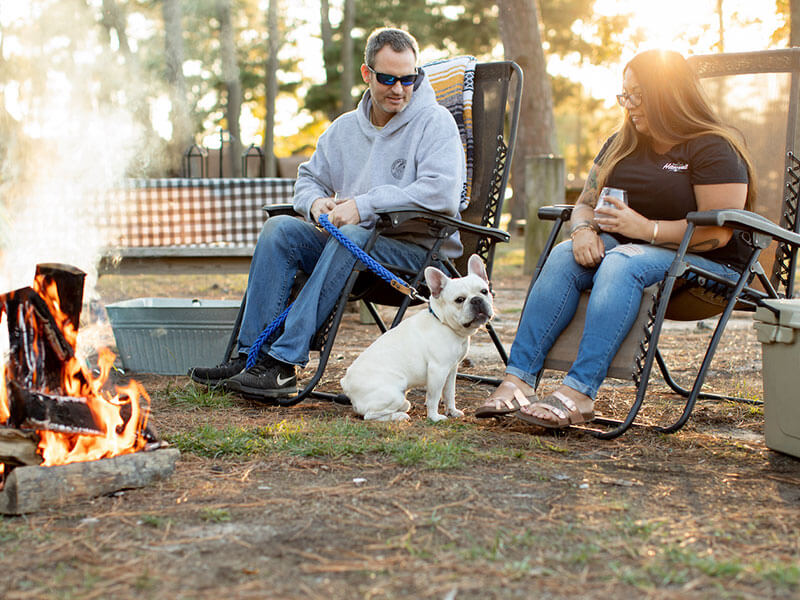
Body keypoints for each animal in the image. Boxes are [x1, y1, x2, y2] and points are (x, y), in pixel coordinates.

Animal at [341, 254, 494, 422]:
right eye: (459, 300)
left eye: (484, 291)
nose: (476, 300)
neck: (443, 323)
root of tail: (346, 385)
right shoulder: (437, 370)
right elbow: (433, 397)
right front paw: (434, 417)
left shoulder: (451, 370)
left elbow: (449, 393)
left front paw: (452, 411)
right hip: (395, 394)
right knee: (370, 415)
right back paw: (399, 416)